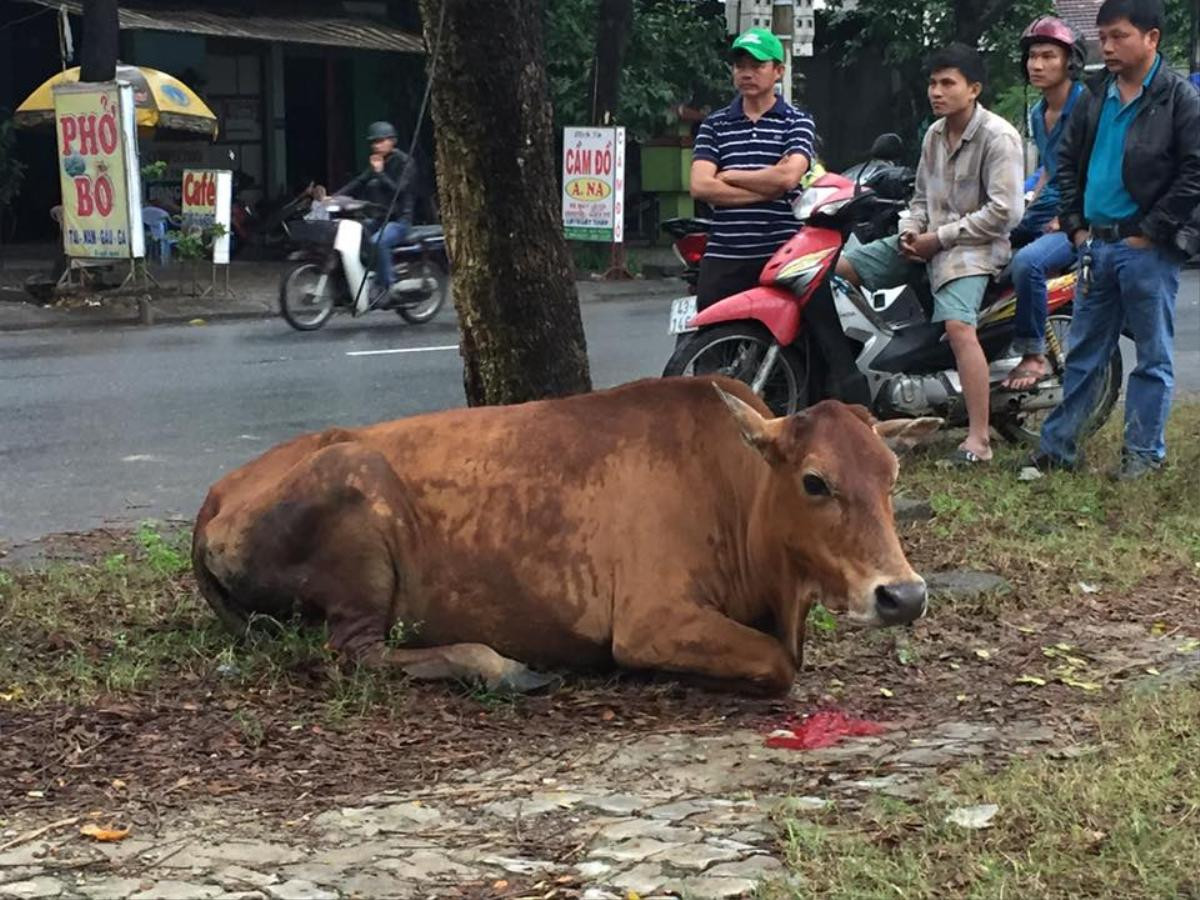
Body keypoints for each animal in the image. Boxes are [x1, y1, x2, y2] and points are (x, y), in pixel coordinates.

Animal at [194, 374, 936, 696]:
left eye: (892, 473)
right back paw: (501, 668)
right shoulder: (649, 621)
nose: (904, 595)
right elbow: (777, 663)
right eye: (815, 482)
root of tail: (215, 495)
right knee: (356, 652)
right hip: (359, 494)